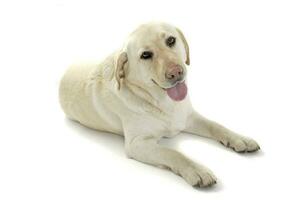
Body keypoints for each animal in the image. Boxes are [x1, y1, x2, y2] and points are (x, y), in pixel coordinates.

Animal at [58, 22, 258, 188]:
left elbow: (216, 126)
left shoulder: (188, 117)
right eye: (145, 55)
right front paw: (196, 170)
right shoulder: (138, 143)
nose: (176, 72)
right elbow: (173, 153)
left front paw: (240, 139)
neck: (163, 102)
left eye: (171, 40)